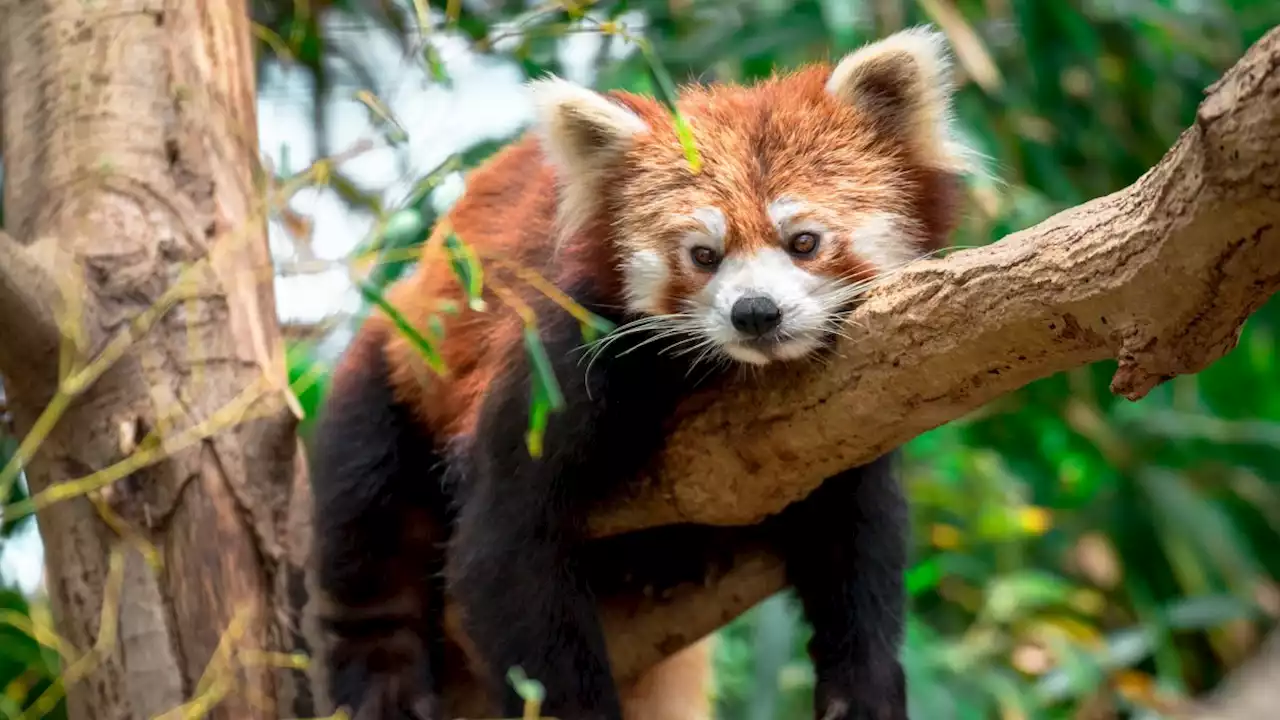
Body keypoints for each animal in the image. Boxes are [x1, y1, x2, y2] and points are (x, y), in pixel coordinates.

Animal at [304, 25, 972, 712]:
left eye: (804, 242)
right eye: (703, 255)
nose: (755, 313)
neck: (721, 374)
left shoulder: (845, 415)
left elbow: (858, 543)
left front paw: (861, 689)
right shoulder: (560, 363)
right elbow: (503, 549)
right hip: (394, 366)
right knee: (370, 507)